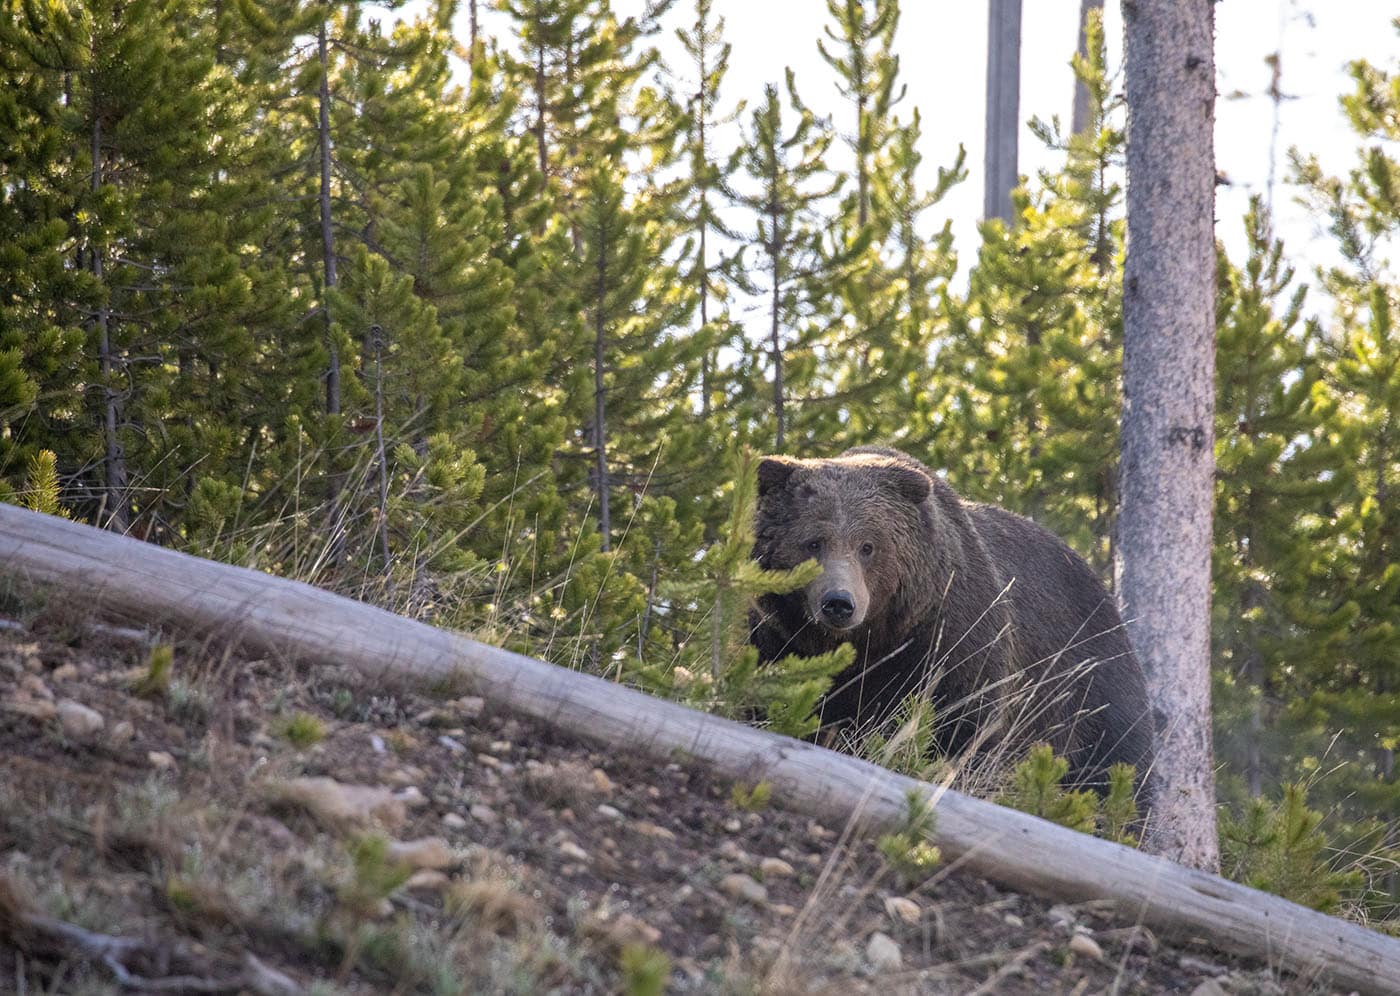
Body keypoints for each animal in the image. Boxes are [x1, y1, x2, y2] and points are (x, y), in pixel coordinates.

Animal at [748, 445, 1155, 795]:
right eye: (813, 542)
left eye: (868, 546)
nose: (838, 603)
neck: (873, 641)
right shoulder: (779, 640)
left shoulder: (951, 637)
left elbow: (963, 725)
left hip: (1091, 683)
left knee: (1118, 766)